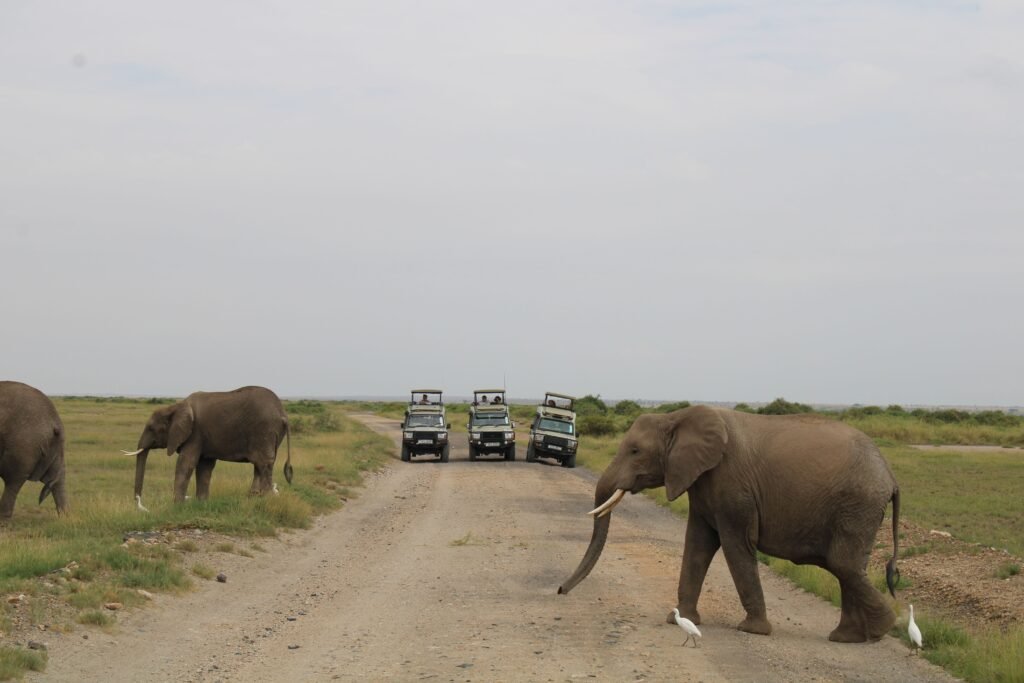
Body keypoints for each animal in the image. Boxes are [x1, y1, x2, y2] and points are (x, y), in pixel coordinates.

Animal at [123, 386, 292, 510]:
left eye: (151, 428)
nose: (138, 502)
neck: (176, 407)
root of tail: (283, 414)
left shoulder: (195, 433)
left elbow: (186, 463)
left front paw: (177, 507)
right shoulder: (203, 436)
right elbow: (204, 467)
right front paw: (201, 503)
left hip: (264, 431)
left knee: (263, 464)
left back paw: (266, 500)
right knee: (260, 465)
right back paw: (253, 499)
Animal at [559, 405, 901, 643]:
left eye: (634, 451)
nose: (561, 590)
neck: (676, 416)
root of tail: (890, 476)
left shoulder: (734, 487)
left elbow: (736, 546)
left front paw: (753, 631)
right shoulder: (700, 482)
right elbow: (697, 545)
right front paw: (678, 619)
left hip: (857, 505)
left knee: (842, 563)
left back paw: (879, 630)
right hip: (859, 509)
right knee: (848, 566)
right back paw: (849, 638)